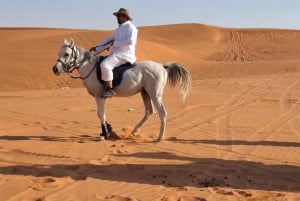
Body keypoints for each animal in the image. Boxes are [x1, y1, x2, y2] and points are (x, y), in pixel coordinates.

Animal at [52, 38, 191, 141]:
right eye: (58, 54)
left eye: (67, 54)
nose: (55, 69)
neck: (90, 67)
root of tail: (162, 66)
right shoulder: (101, 98)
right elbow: (103, 114)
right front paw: (109, 129)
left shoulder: (99, 96)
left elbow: (100, 114)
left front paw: (105, 134)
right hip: (145, 92)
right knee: (149, 111)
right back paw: (135, 131)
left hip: (155, 94)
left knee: (162, 113)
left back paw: (160, 137)